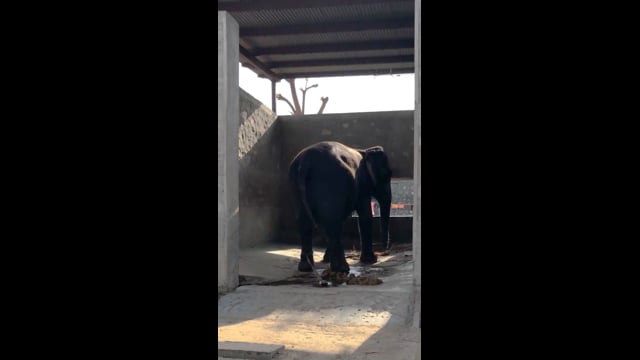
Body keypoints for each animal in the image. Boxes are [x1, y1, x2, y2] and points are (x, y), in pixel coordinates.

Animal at [288, 141, 390, 272]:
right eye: (386, 176)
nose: (384, 250)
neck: (365, 151)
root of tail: (305, 163)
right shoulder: (362, 184)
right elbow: (365, 215)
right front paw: (371, 260)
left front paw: (326, 259)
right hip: (329, 181)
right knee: (332, 221)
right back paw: (342, 268)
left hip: (295, 184)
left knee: (306, 222)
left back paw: (306, 267)